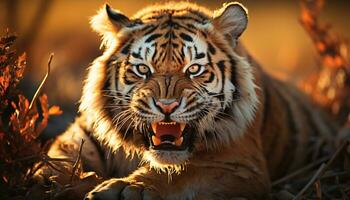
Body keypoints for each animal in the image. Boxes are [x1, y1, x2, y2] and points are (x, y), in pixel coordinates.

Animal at [35, 0, 336, 199]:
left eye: (194, 69)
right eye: (143, 69)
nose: (166, 106)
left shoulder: (239, 166)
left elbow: (180, 172)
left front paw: (127, 188)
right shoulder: (80, 137)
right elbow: (57, 160)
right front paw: (50, 179)